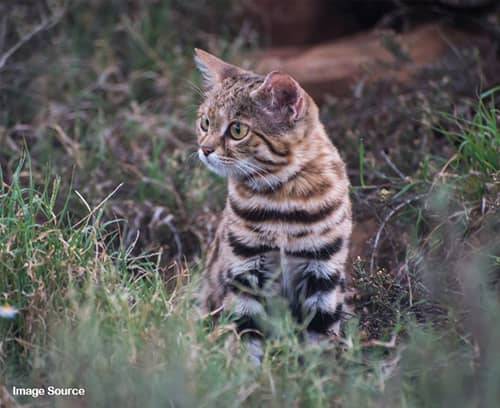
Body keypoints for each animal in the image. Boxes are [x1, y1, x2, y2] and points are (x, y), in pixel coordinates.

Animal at [193, 47, 354, 354]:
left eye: (237, 130)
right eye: (204, 123)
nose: (204, 149)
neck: (283, 199)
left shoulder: (323, 273)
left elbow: (321, 341)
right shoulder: (244, 270)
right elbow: (244, 336)